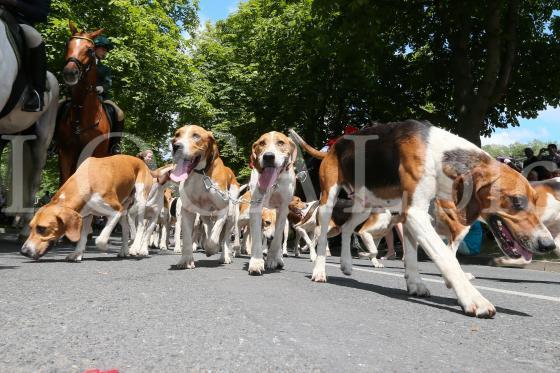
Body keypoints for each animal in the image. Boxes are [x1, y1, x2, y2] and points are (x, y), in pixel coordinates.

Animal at [55, 22, 111, 185]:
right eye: (67, 44)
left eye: (90, 50)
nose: (70, 72)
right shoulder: (66, 153)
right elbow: (65, 180)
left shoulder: (93, 154)